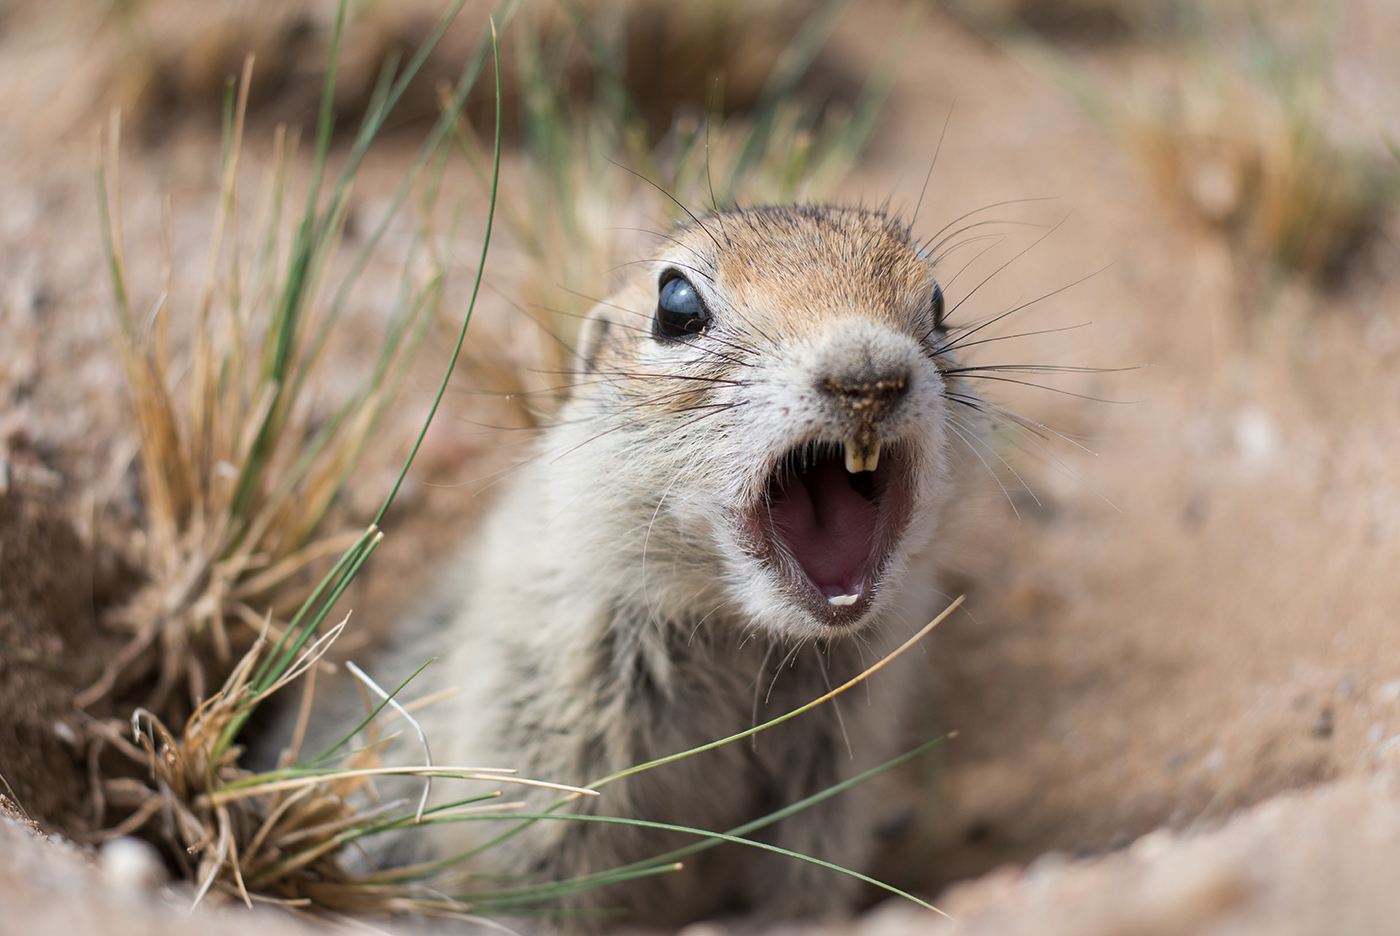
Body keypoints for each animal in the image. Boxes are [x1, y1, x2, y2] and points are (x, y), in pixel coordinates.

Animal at [366, 204, 985, 929]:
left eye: (938, 302)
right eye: (676, 304)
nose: (867, 375)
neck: (740, 633)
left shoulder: (830, 773)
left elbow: (805, 878)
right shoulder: (537, 733)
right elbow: (534, 876)